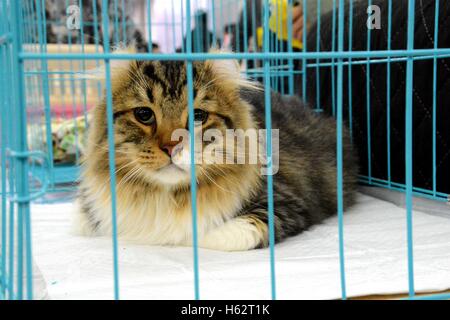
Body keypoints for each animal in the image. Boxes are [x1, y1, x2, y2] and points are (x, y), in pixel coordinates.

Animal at [74, 53, 356, 251]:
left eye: (198, 116)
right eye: (144, 114)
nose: (171, 147)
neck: (166, 197)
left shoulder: (282, 203)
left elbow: (198, 234)